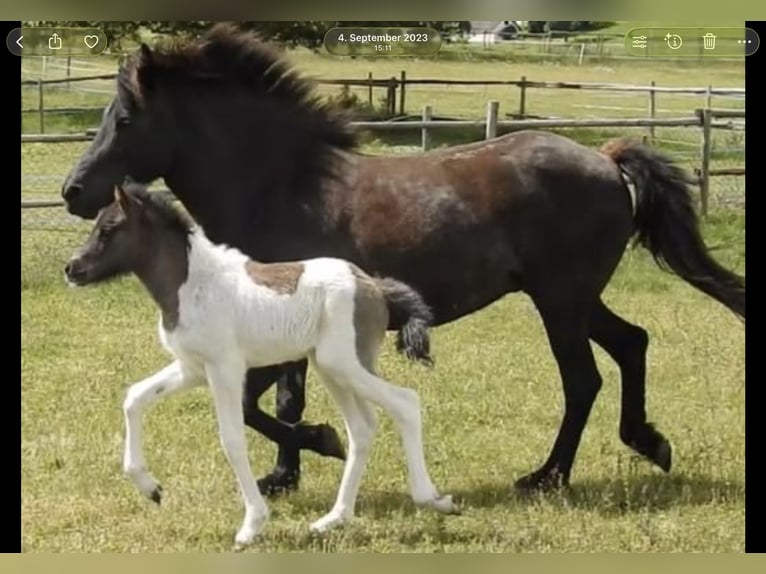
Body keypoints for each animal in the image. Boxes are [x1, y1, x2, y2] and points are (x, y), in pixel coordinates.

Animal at [61, 24, 745, 494]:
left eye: (126, 119)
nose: (72, 191)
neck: (281, 187)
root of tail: (604, 160)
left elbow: (267, 405)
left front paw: (322, 447)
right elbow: (281, 400)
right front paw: (284, 476)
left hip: (560, 300)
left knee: (583, 379)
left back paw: (547, 476)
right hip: (572, 298)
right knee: (632, 343)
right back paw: (650, 444)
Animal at [63, 183, 457, 546]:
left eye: (109, 228)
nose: (72, 268)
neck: (193, 284)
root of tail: (373, 286)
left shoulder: (224, 369)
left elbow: (232, 439)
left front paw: (252, 525)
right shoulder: (193, 368)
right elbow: (135, 398)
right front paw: (151, 489)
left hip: (345, 364)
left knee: (405, 402)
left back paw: (433, 499)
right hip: (331, 368)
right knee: (361, 428)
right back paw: (334, 518)